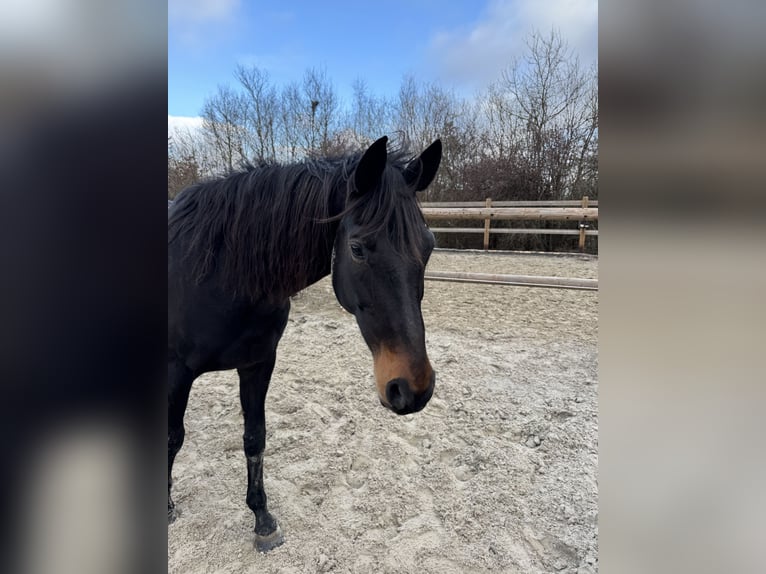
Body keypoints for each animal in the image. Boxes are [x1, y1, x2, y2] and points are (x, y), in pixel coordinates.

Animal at [168, 136, 444, 552]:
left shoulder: (257, 364)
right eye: (357, 248)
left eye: (428, 246)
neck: (217, 274)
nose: (413, 388)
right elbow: (173, 438)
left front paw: (263, 520)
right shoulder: (176, 372)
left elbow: (255, 439)